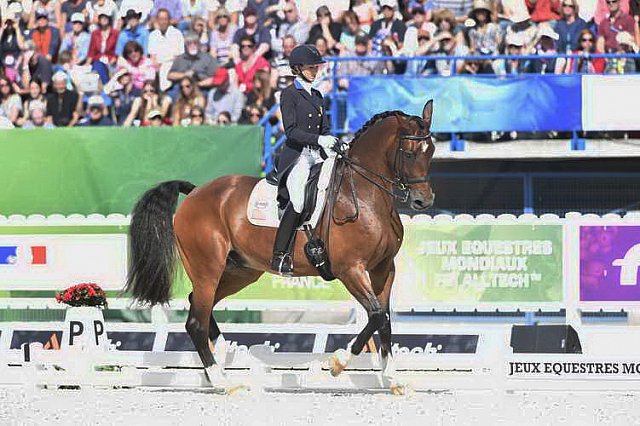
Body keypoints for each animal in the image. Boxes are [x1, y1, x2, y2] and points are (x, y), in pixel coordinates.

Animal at [125, 100, 436, 392]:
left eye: (431, 151)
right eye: (410, 153)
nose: (424, 201)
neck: (363, 193)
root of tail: (195, 193)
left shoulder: (384, 268)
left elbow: (384, 319)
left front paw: (393, 379)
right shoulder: (350, 269)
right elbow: (376, 315)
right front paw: (336, 363)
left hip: (240, 271)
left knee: (198, 305)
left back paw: (230, 357)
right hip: (207, 269)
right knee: (196, 322)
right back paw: (224, 382)